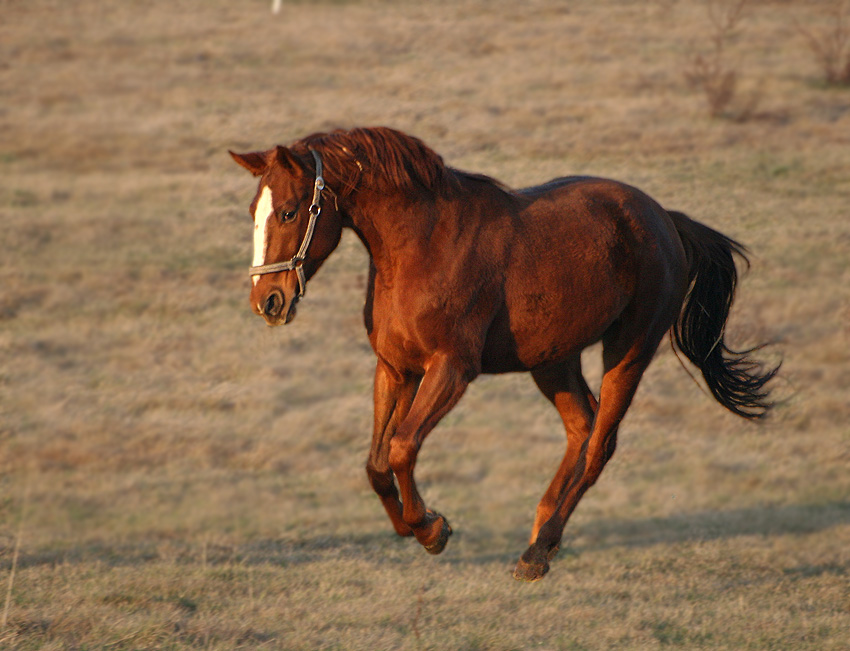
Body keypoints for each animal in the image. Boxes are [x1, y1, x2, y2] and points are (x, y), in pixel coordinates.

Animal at [229, 126, 780, 580]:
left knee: (599, 444)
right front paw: (415, 526)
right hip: (553, 360)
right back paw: (541, 536)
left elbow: (403, 447)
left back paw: (537, 553)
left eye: (290, 210)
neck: (421, 246)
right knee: (581, 427)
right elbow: (377, 464)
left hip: (630, 350)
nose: (267, 301)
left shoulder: (451, 368)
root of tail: (666, 219)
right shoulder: (396, 368)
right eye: (254, 212)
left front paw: (433, 529)